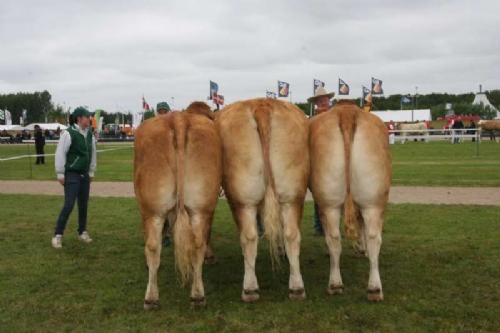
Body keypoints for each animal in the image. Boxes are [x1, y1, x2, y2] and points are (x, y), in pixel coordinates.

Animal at [133, 102, 221, 308]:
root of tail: (179, 119)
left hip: (151, 210)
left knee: (152, 246)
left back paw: (151, 297)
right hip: (200, 205)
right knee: (197, 244)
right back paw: (197, 295)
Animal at [217, 96, 310, 300]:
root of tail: (261, 105)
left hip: (242, 200)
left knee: (249, 236)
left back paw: (250, 288)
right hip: (292, 195)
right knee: (292, 234)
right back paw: (297, 287)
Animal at [310, 99, 392, 300]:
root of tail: (347, 113)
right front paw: (360, 248)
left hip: (344, 201)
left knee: (339, 238)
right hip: (370, 202)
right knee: (367, 237)